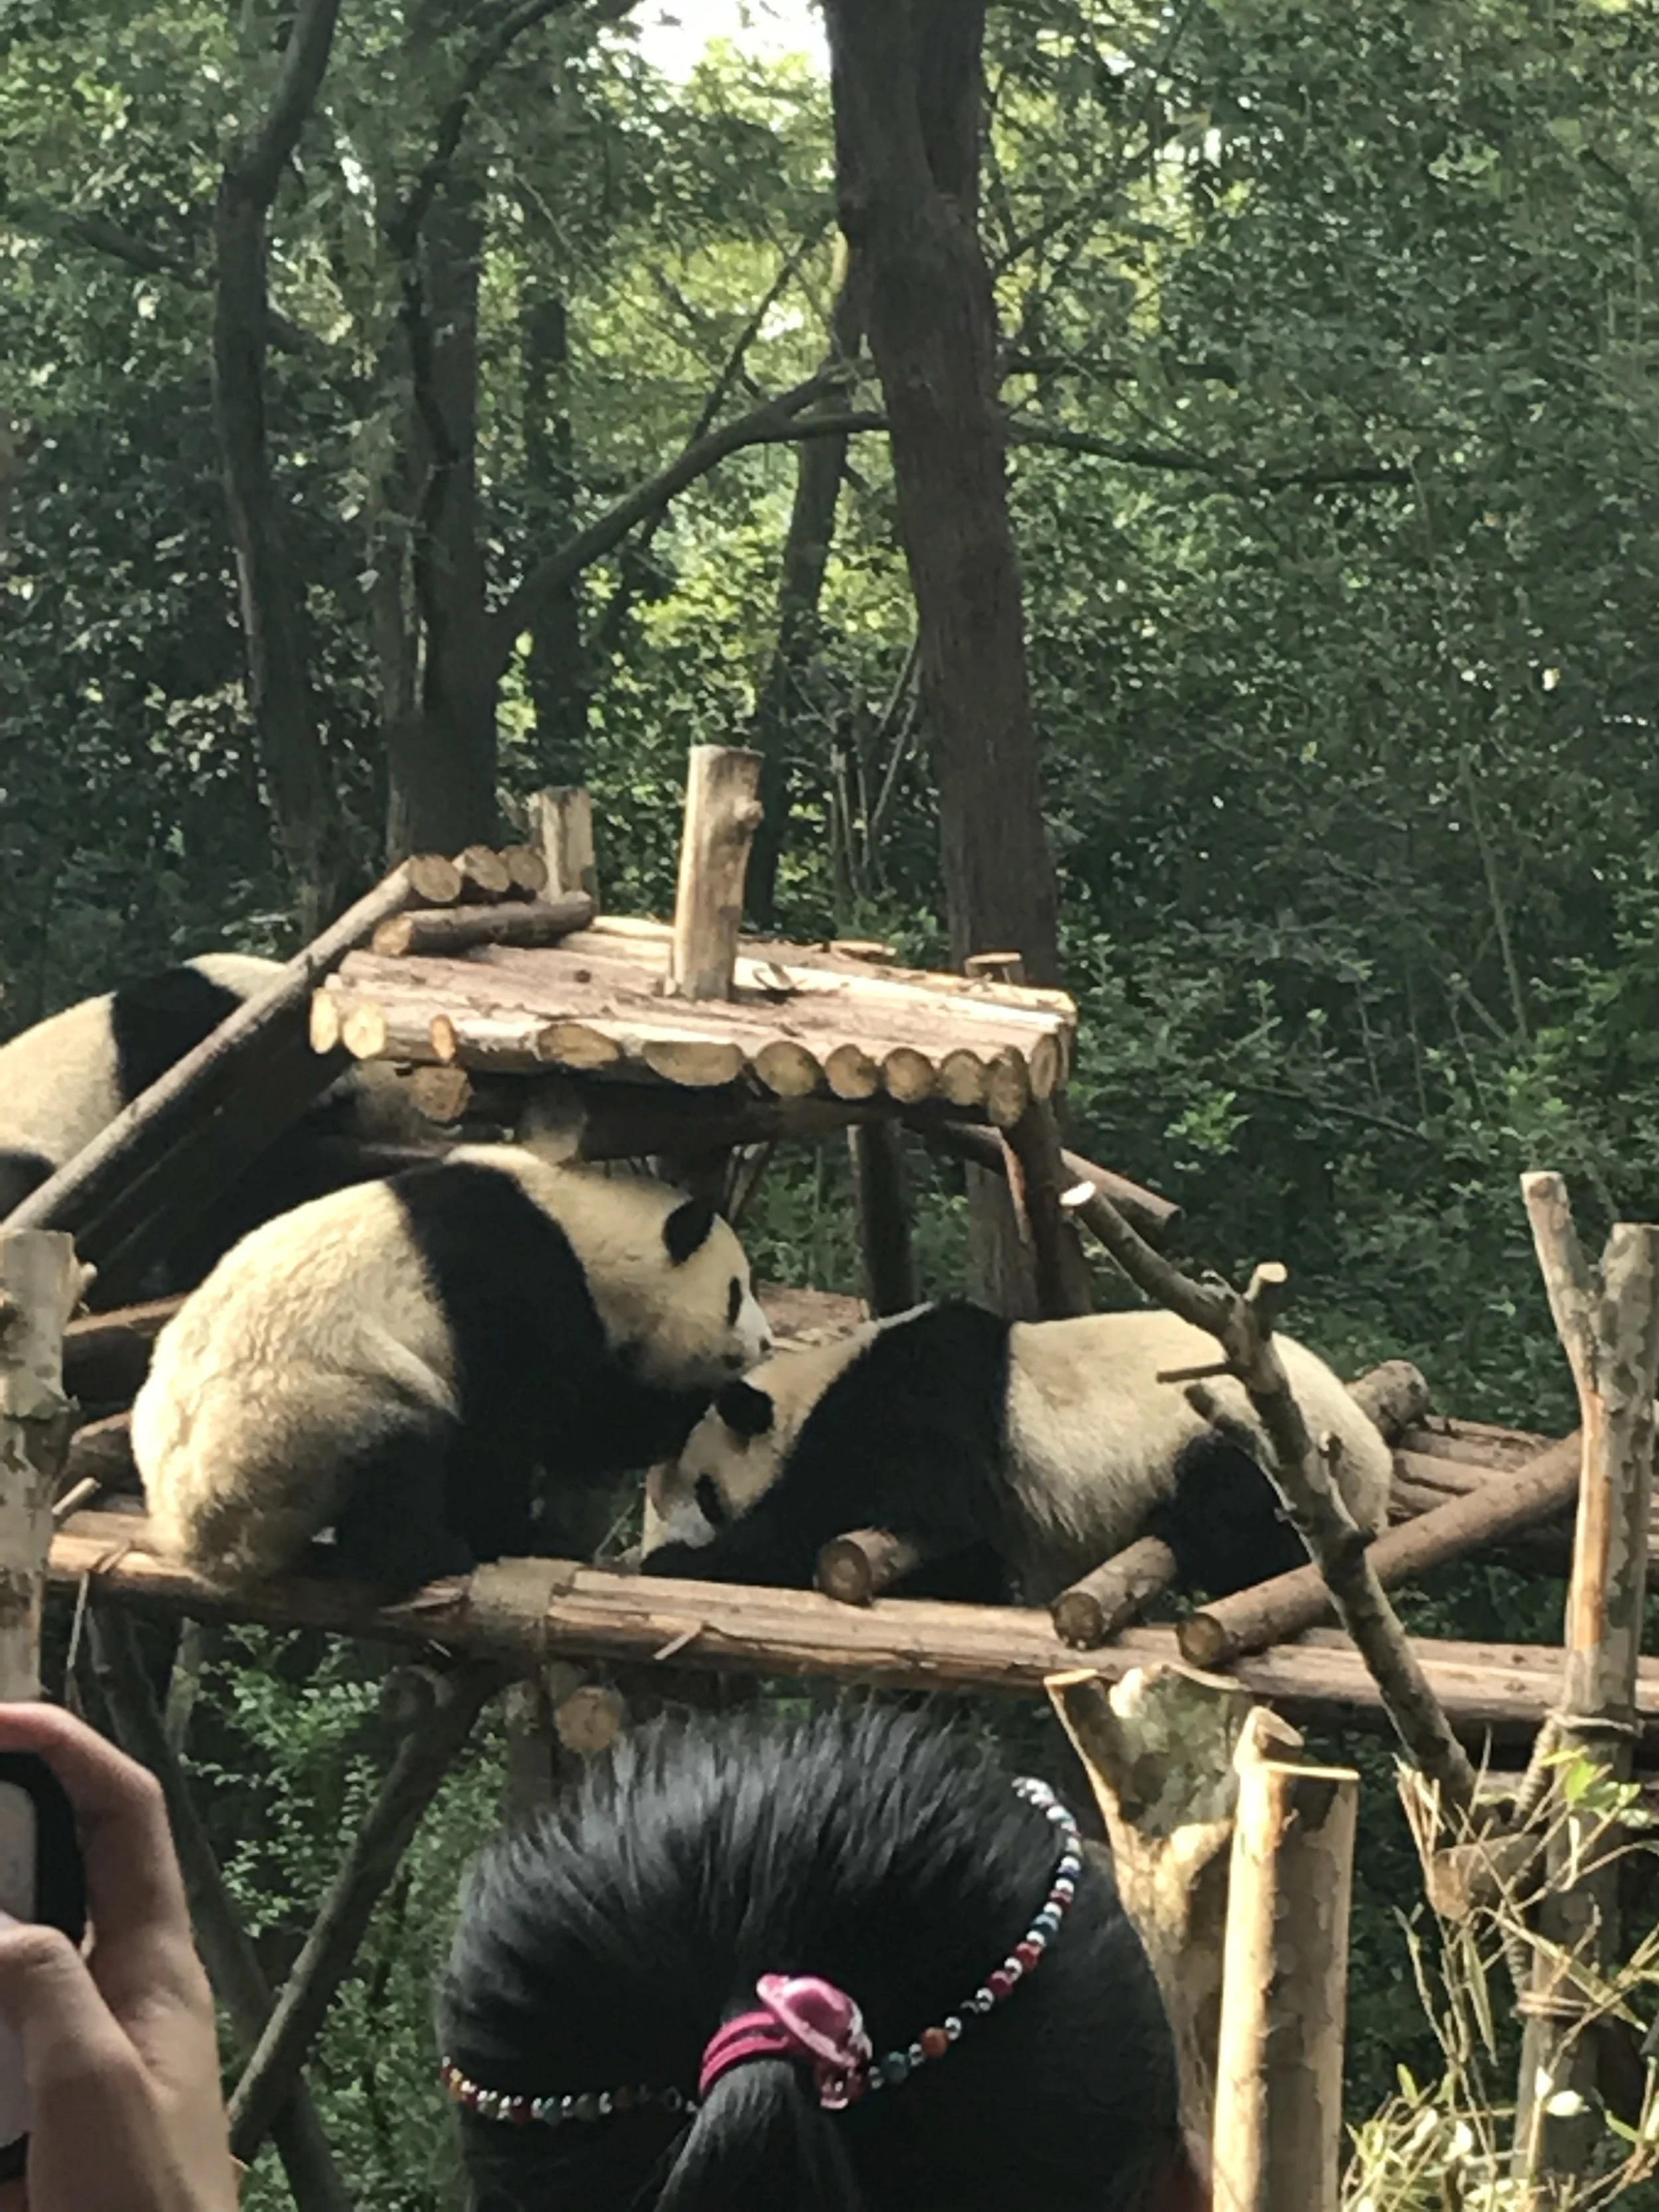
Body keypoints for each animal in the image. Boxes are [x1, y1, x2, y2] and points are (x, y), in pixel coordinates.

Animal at [133, 1149, 773, 1596]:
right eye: (735, 1293)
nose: (765, 1342)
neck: (579, 1219)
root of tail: (194, 1541)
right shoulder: (507, 1285)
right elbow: (541, 1420)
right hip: (304, 1421)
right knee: (397, 1460)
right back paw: (434, 1554)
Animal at [639, 1300, 1393, 1604]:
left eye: (704, 1491)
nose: (659, 1542)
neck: (817, 1382)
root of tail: (1375, 1462)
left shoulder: (914, 1398)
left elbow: (881, 1502)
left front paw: (681, 1564)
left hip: (1243, 1437)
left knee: (1233, 1512)